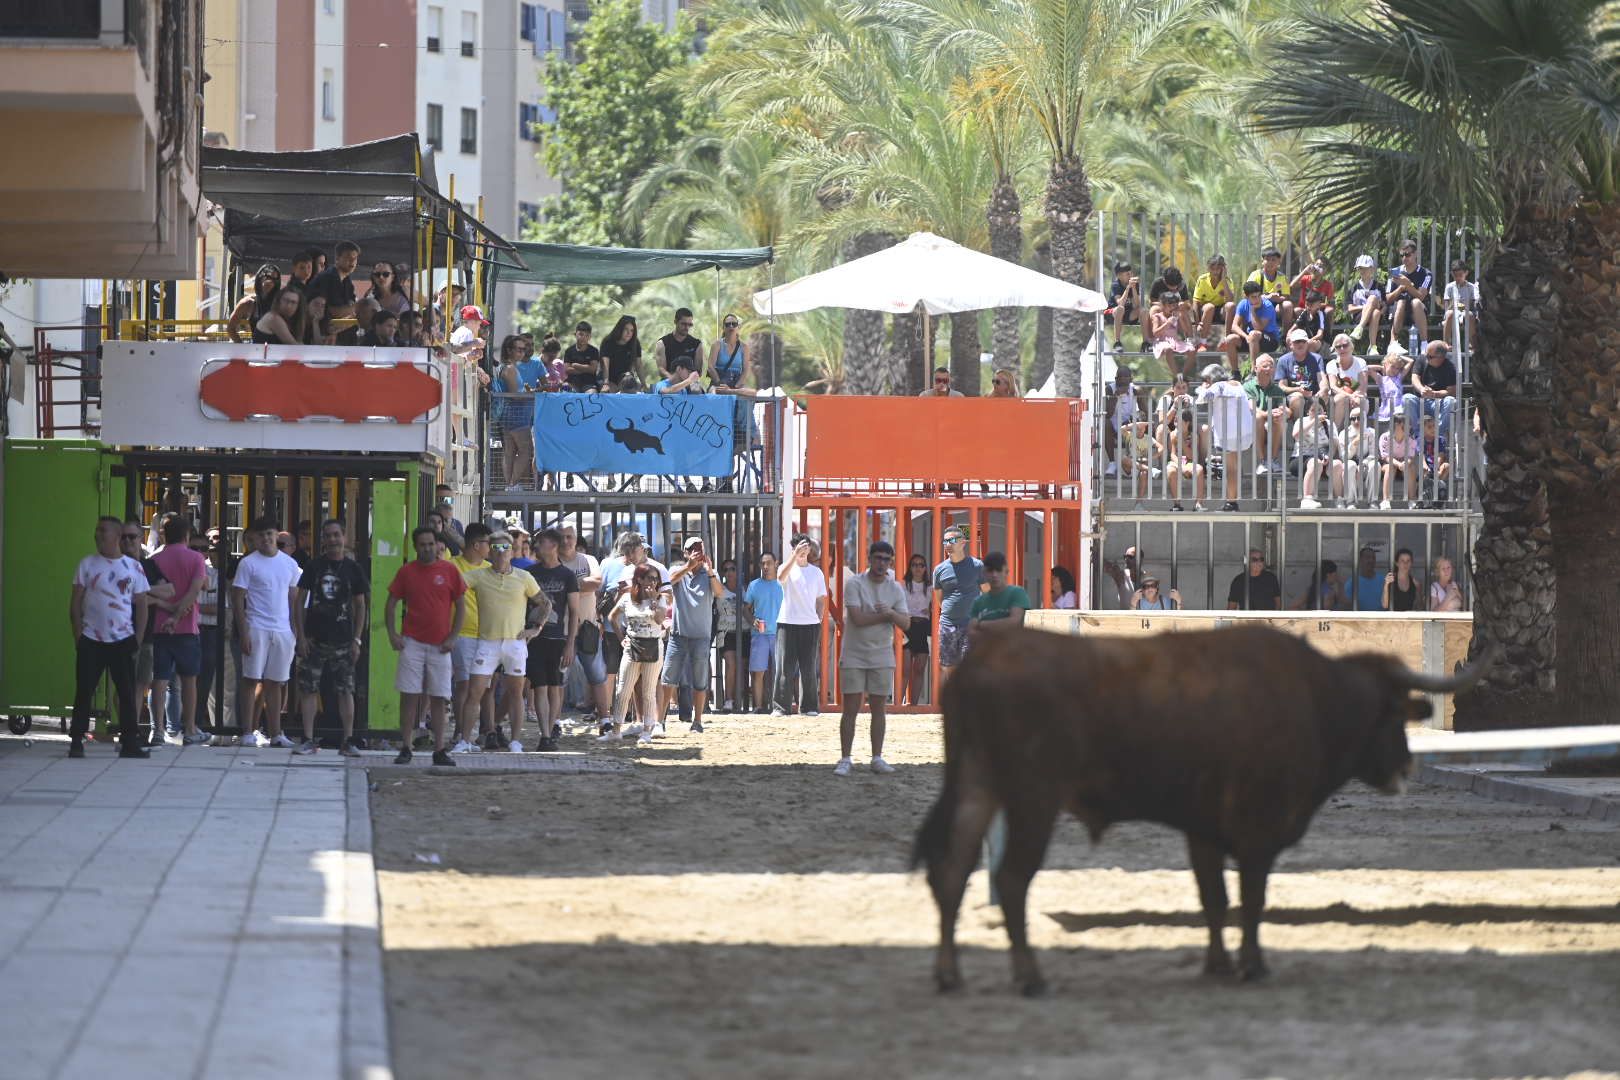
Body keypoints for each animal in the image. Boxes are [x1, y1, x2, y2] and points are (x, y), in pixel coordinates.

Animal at [913, 625, 1490, 997]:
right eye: (1392, 714)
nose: (1405, 767)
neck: (1316, 700)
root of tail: (981, 663)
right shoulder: (1259, 830)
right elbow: (1250, 900)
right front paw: (1252, 965)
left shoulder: (1204, 829)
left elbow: (1214, 898)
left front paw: (1217, 965)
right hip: (1033, 799)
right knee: (1010, 879)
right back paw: (1029, 977)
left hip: (977, 788)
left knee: (952, 870)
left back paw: (949, 975)